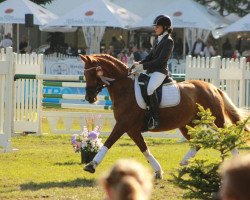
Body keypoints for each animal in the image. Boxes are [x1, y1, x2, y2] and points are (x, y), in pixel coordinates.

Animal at [80, 54, 244, 178]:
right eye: (85, 74)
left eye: (91, 73)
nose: (89, 98)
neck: (125, 89)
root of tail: (213, 87)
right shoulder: (131, 129)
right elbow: (144, 148)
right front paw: (158, 171)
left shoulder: (123, 124)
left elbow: (109, 142)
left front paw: (91, 165)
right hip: (187, 124)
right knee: (197, 143)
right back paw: (184, 163)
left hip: (216, 120)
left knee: (227, 136)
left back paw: (235, 162)